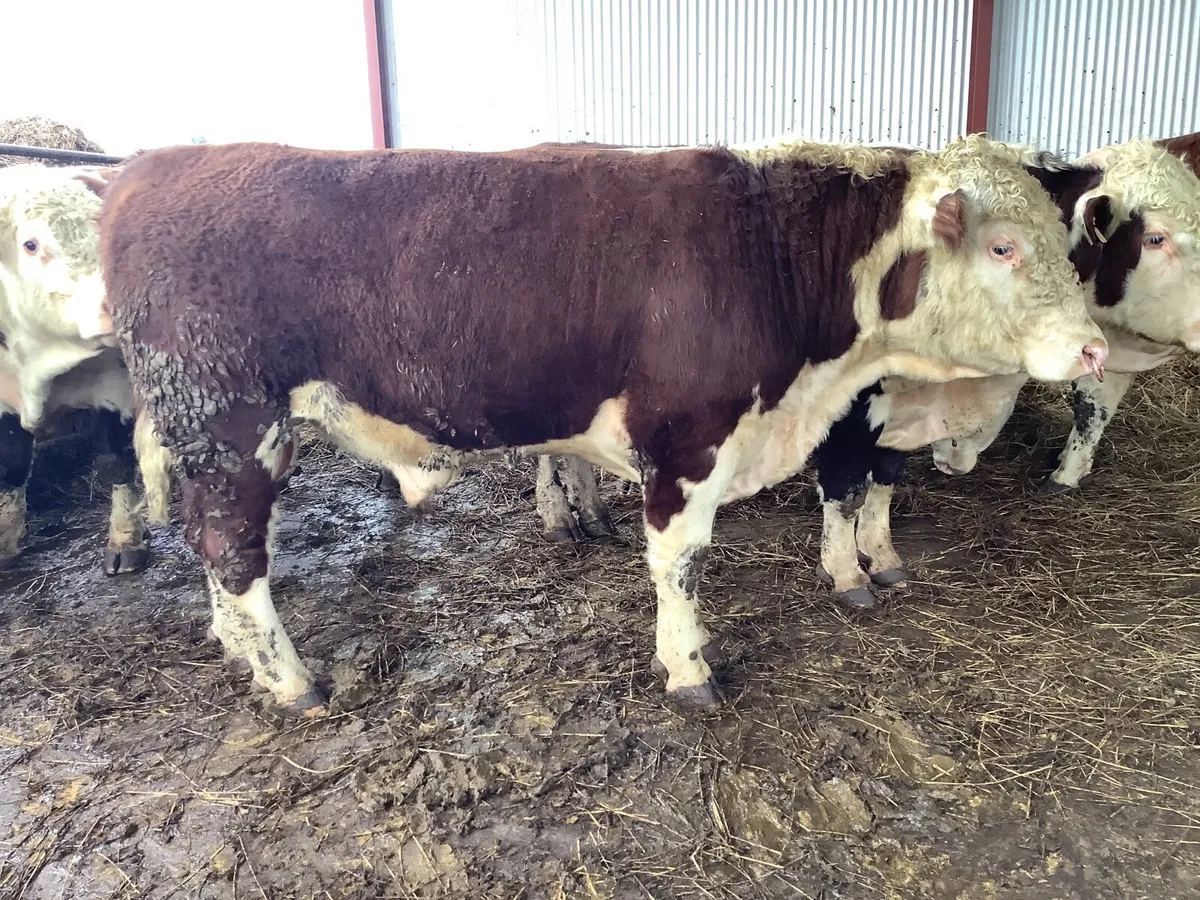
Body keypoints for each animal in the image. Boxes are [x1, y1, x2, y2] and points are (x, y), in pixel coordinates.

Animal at [95, 136, 1106, 715]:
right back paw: (292, 683)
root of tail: (145, 168)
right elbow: (681, 563)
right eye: (1004, 246)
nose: (1096, 348)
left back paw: (237, 649)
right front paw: (690, 670)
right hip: (231, 422)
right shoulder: (686, 441)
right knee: (234, 550)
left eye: (1067, 244)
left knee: (211, 545)